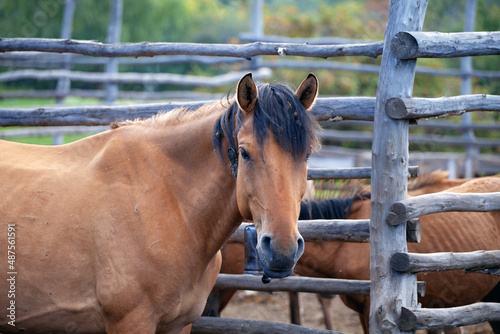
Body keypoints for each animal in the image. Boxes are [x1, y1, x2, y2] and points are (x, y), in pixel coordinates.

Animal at [0, 73, 320, 334]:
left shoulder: (178, 325)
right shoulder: (132, 322)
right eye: (244, 153)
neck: (171, 204)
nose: (282, 250)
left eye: (306, 156)